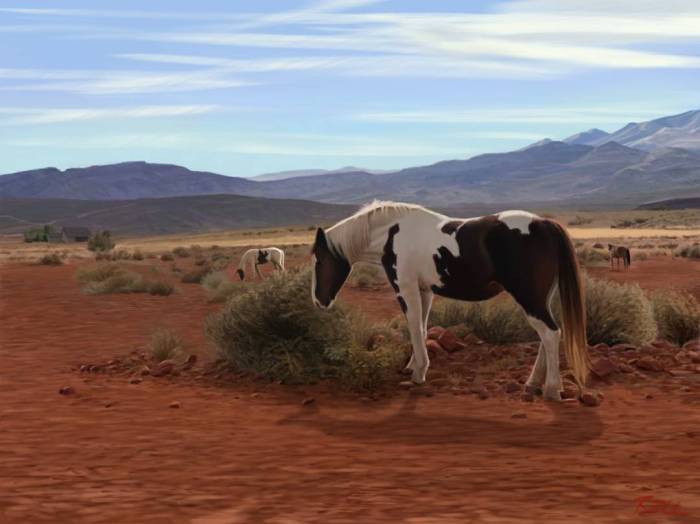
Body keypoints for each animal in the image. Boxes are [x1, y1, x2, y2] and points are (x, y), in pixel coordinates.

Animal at [311, 201, 589, 401]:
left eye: (319, 260)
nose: (318, 301)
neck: (391, 233)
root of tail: (544, 223)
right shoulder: (425, 290)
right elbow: (422, 328)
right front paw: (413, 365)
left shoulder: (405, 288)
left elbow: (413, 327)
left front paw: (419, 373)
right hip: (541, 298)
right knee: (548, 335)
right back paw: (533, 383)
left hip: (529, 297)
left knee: (551, 334)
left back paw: (551, 390)